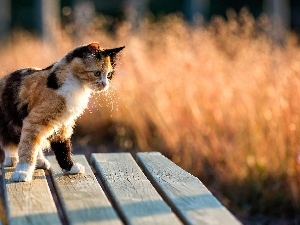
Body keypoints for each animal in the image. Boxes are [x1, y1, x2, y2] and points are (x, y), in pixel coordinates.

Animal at [0, 42, 124, 183]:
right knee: (11, 141)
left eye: (109, 75)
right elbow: (27, 148)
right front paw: (22, 172)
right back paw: (11, 159)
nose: (105, 84)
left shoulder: (63, 123)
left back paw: (40, 160)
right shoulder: (34, 122)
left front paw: (70, 167)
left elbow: (63, 148)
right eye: (97, 73)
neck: (75, 85)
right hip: (9, 123)